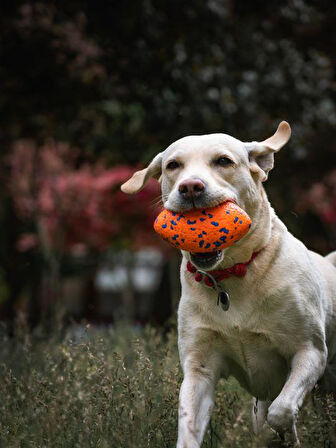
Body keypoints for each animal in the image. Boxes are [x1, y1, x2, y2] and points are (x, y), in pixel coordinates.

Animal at [121, 121, 336, 446]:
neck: (231, 275)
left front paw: (290, 435)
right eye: (173, 166)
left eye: (223, 161)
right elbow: (189, 426)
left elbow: (282, 410)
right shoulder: (199, 368)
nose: (190, 187)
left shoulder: (310, 351)